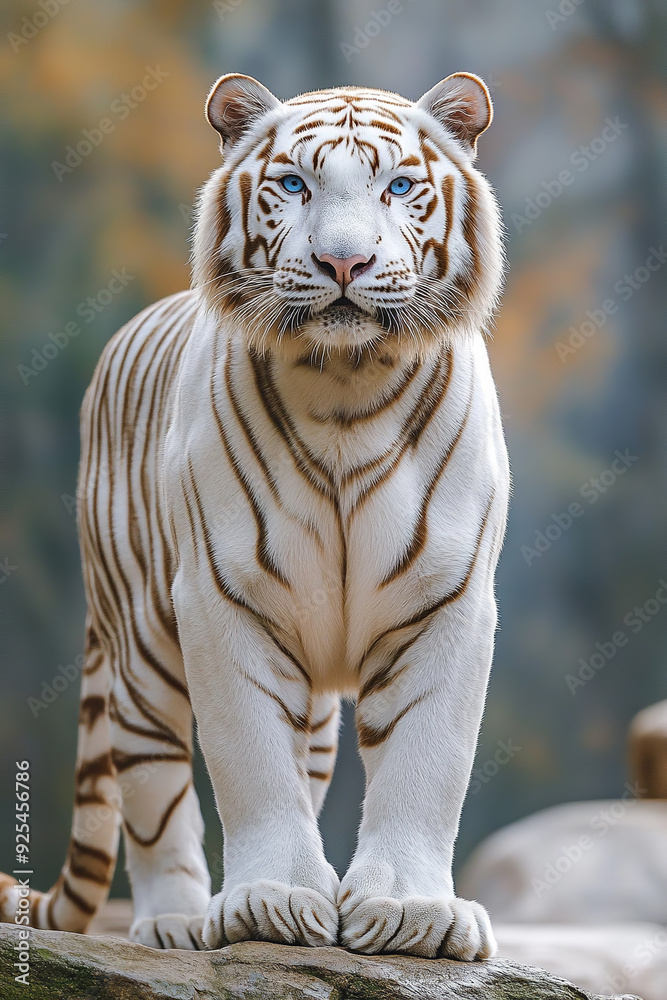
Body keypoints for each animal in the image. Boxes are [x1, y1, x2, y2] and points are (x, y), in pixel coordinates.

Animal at [0, 71, 509, 960]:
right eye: (294, 184)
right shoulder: (219, 597)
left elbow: (426, 761)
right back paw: (173, 923)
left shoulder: (447, 601)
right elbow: (250, 763)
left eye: (398, 187)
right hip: (141, 650)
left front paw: (410, 913)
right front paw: (272, 902)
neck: (348, 386)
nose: (343, 260)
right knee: (153, 790)